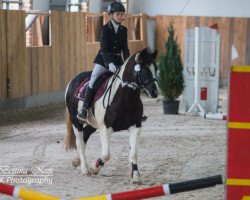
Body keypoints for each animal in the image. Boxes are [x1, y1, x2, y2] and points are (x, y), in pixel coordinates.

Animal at [64, 47, 158, 184]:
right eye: (143, 69)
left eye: (155, 68)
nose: (154, 92)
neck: (125, 97)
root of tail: (74, 79)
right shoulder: (105, 128)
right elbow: (106, 154)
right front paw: (94, 168)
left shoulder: (136, 126)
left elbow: (133, 153)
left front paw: (135, 176)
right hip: (76, 122)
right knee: (80, 142)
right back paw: (85, 169)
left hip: (93, 123)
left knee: (85, 135)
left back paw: (76, 161)